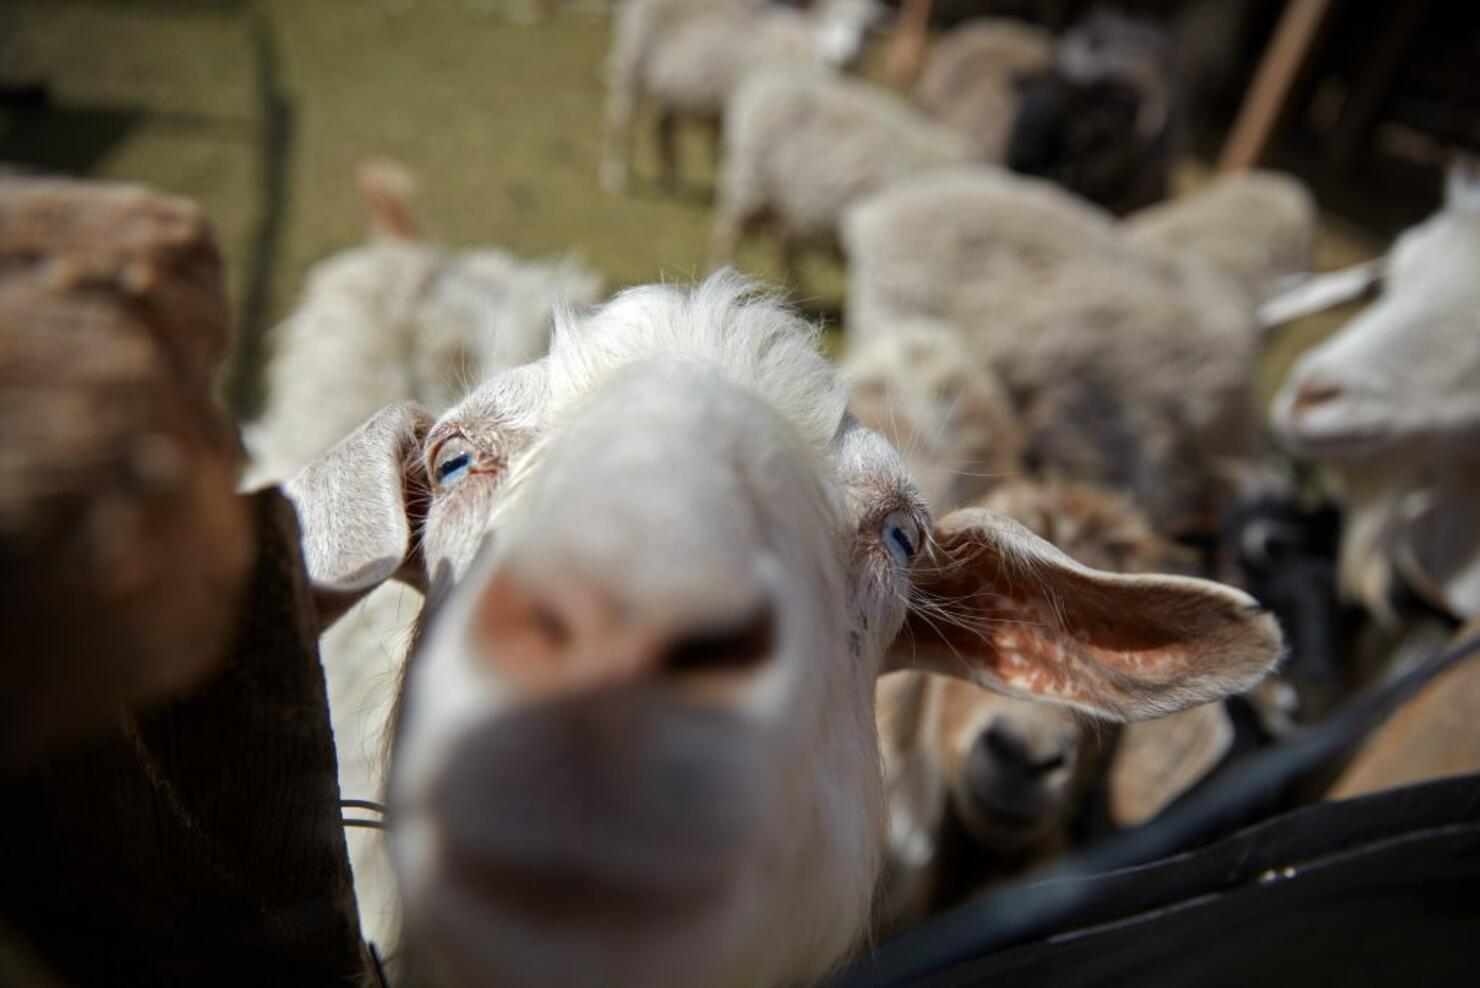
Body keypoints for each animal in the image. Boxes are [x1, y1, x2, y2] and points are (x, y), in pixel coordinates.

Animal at [597, 0, 876, 192]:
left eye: (868, 31)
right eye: (832, 16)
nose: (845, 56)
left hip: (670, 85)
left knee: (663, 126)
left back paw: (671, 179)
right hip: (633, 60)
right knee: (620, 117)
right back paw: (615, 176)